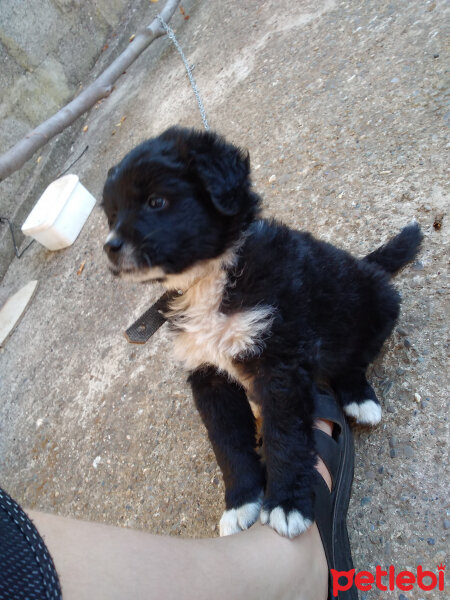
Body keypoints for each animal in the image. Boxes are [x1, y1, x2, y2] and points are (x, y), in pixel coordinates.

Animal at [102, 127, 422, 540]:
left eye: (156, 201)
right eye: (111, 215)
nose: (109, 248)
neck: (207, 279)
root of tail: (366, 265)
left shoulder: (279, 362)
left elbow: (285, 436)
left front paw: (286, 503)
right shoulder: (208, 375)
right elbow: (227, 443)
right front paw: (241, 502)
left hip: (379, 303)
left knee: (355, 359)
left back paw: (358, 398)